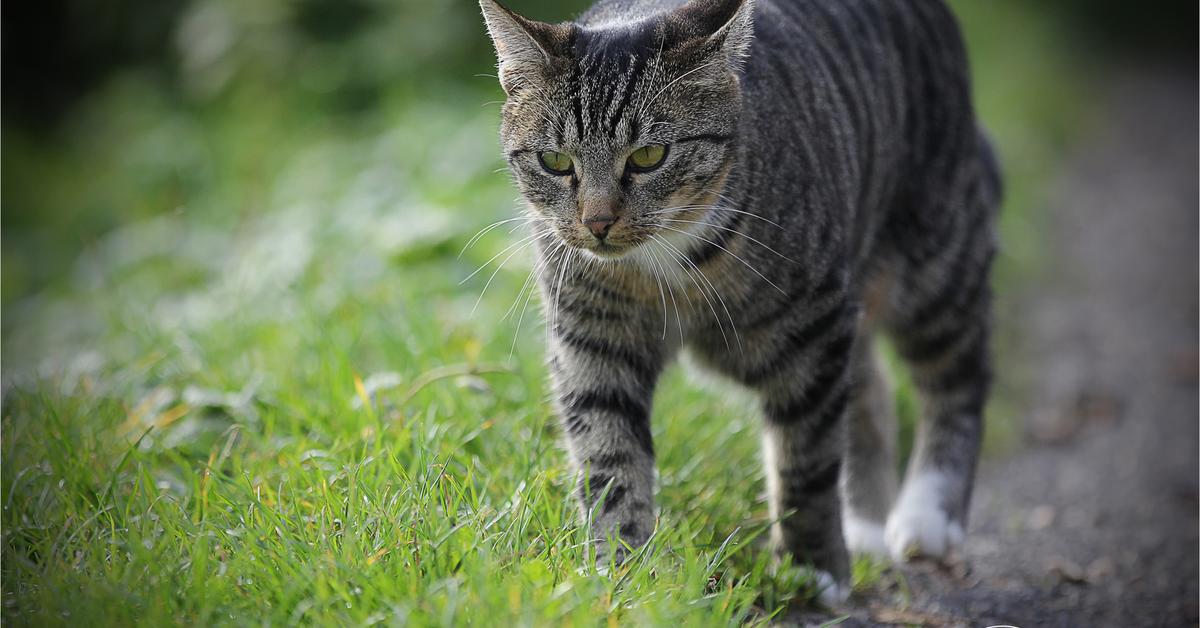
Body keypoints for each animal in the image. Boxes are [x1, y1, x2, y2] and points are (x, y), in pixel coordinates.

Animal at [472, 0, 998, 605]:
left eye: (649, 155)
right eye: (556, 161)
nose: (597, 223)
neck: (666, 264)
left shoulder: (812, 331)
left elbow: (806, 461)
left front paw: (812, 570)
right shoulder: (593, 337)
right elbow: (610, 458)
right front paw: (619, 576)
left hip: (935, 260)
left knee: (957, 377)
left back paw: (929, 515)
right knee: (872, 391)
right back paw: (864, 528)